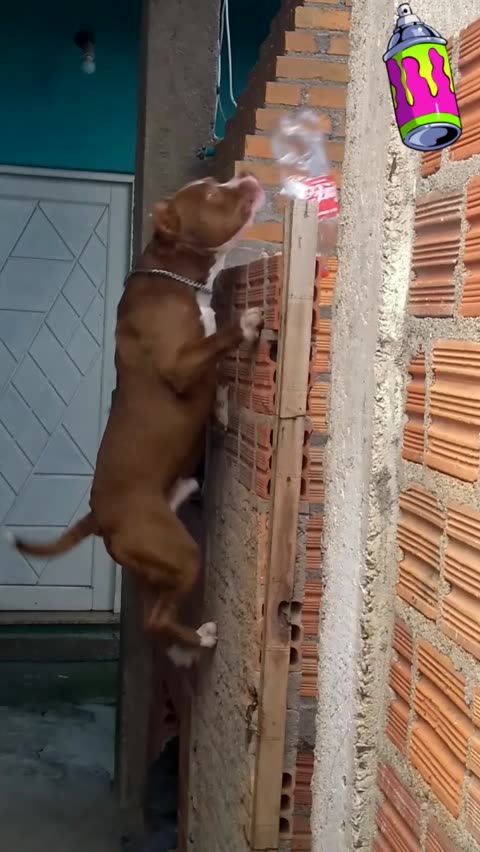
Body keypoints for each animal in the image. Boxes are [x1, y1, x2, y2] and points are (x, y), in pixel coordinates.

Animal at [4, 173, 265, 662]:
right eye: (211, 193)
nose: (246, 177)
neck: (175, 278)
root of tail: (99, 516)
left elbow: (215, 377)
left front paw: (221, 406)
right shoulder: (179, 364)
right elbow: (215, 345)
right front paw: (243, 325)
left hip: (154, 565)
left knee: (154, 617)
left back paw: (184, 646)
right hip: (179, 552)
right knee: (155, 620)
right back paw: (200, 640)